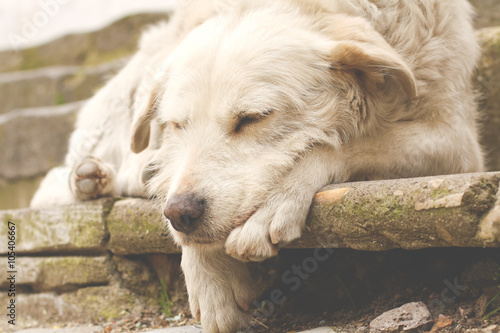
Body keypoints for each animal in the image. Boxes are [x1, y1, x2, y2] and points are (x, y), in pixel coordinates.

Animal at [31, 0, 484, 330]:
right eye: (178, 124)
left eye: (252, 118)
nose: (181, 215)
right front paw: (209, 275)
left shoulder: (457, 143)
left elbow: (340, 144)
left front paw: (273, 204)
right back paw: (103, 175)